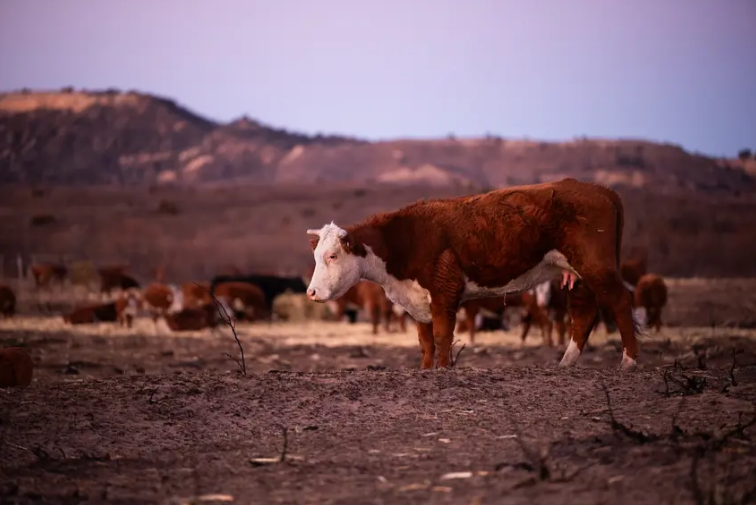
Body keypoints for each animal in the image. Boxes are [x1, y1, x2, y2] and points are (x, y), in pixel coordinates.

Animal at [305, 178, 641, 370]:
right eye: (316, 256)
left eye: (332, 255)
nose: (311, 292)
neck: (403, 239)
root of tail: (602, 190)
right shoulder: (418, 299)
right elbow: (425, 340)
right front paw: (425, 370)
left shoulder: (444, 291)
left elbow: (442, 336)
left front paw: (443, 370)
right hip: (577, 274)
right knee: (584, 314)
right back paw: (566, 363)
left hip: (596, 265)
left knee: (621, 302)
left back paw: (629, 361)